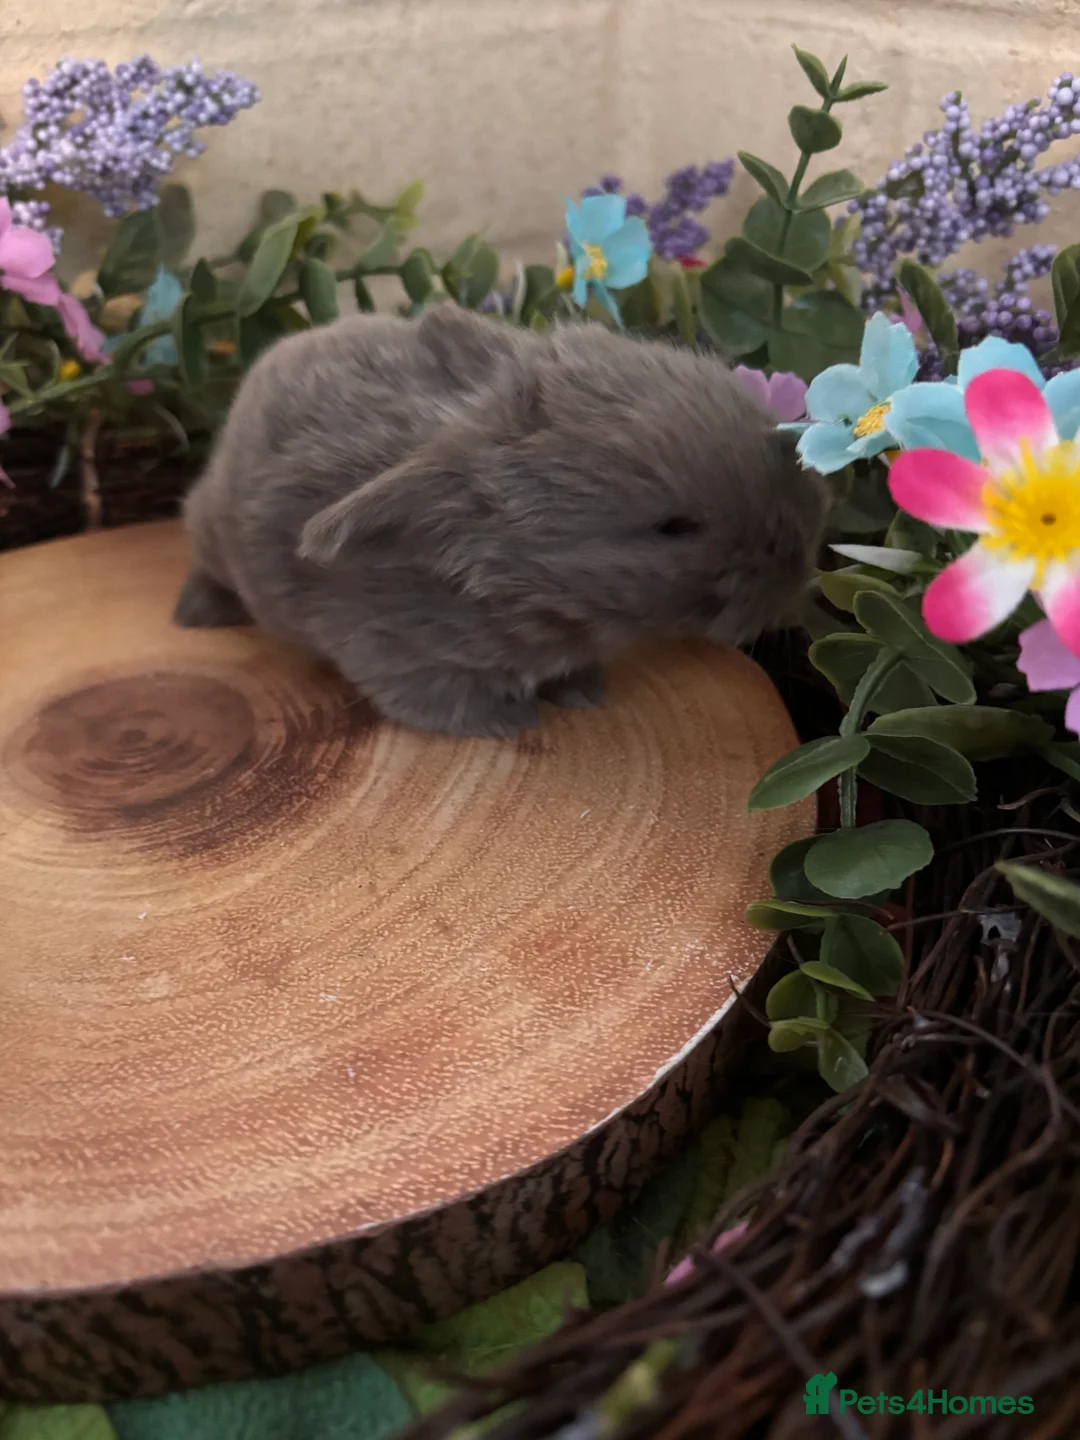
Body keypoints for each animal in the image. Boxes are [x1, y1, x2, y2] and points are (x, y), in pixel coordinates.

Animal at [174, 304, 825, 738]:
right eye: (673, 527)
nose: (800, 558)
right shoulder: (394, 656)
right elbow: (441, 701)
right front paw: (510, 722)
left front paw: (582, 692)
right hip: (210, 533)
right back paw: (195, 613)